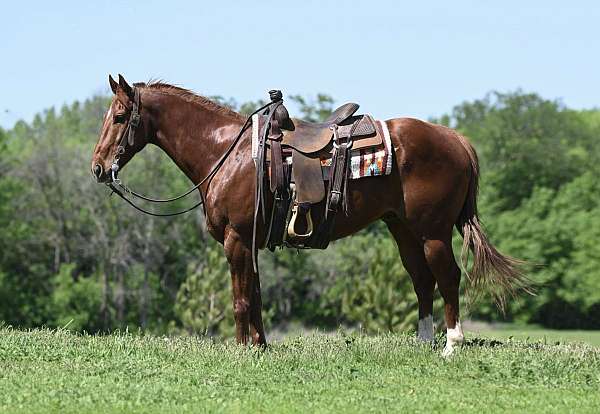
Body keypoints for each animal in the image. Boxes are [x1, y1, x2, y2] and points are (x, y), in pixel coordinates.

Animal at [91, 75, 528, 356]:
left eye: (119, 116)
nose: (98, 168)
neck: (227, 153)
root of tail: (455, 138)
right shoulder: (252, 242)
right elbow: (256, 295)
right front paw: (260, 347)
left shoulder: (237, 238)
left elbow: (239, 298)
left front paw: (240, 350)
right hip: (402, 229)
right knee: (422, 278)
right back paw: (423, 342)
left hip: (433, 231)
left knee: (448, 276)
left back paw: (452, 344)